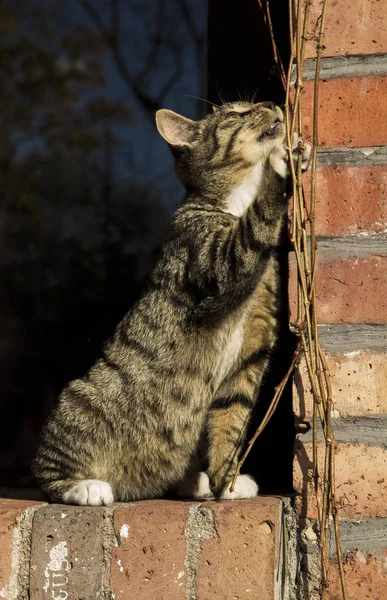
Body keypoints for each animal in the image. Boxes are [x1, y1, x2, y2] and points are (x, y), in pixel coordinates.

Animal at [32, 101, 312, 504]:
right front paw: (281, 162)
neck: (235, 202)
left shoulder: (253, 350)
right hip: (80, 403)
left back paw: (196, 480)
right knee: (46, 473)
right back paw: (85, 487)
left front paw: (227, 480)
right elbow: (247, 235)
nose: (272, 104)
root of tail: (133, 486)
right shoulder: (212, 258)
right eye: (235, 114)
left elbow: (232, 417)